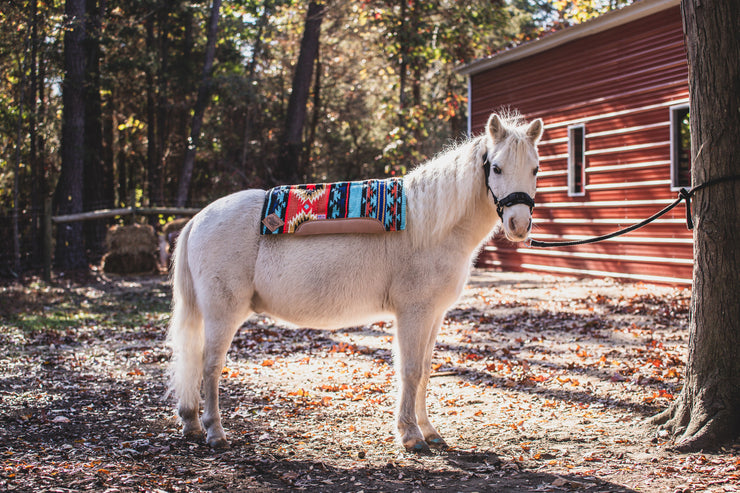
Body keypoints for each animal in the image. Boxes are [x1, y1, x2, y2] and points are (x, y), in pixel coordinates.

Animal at [171, 113, 548, 452]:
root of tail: (199, 218)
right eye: (496, 168)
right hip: (223, 313)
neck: (428, 227)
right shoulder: (414, 313)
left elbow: (426, 371)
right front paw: (411, 435)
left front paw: (429, 432)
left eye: (535, 169)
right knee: (210, 366)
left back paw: (191, 422)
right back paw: (215, 432)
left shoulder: (434, 315)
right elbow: (410, 370)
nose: (518, 225)